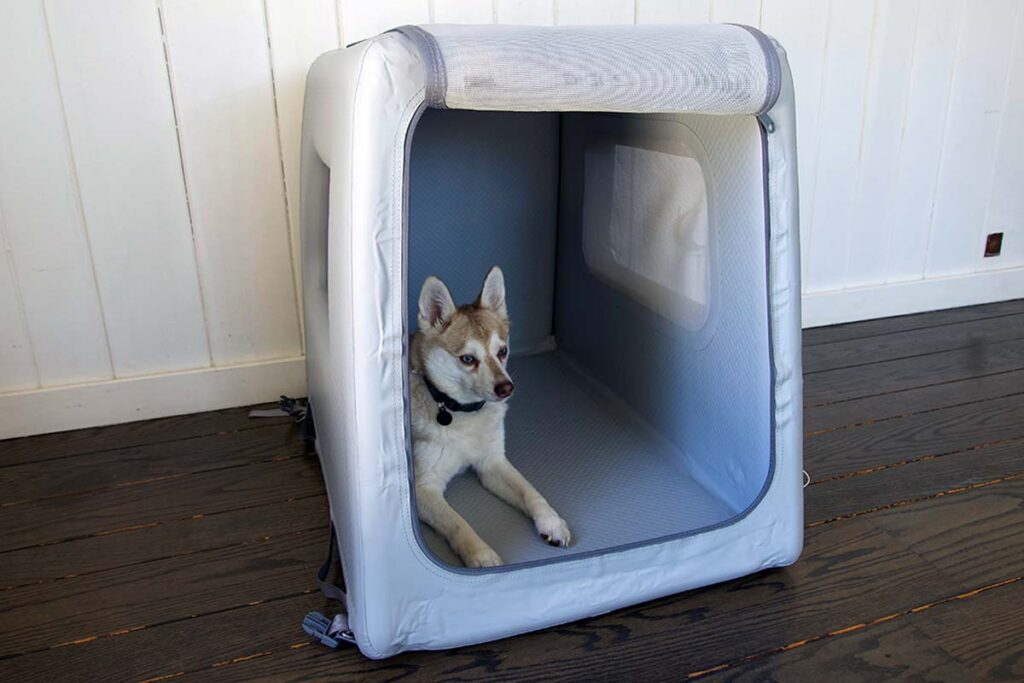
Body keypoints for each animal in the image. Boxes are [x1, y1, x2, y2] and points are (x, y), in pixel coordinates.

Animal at [409, 266, 573, 565]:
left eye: (502, 351)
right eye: (468, 359)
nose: (506, 387)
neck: (462, 413)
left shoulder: (492, 463)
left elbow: (530, 492)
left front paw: (551, 521)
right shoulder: (424, 488)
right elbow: (458, 523)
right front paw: (481, 554)